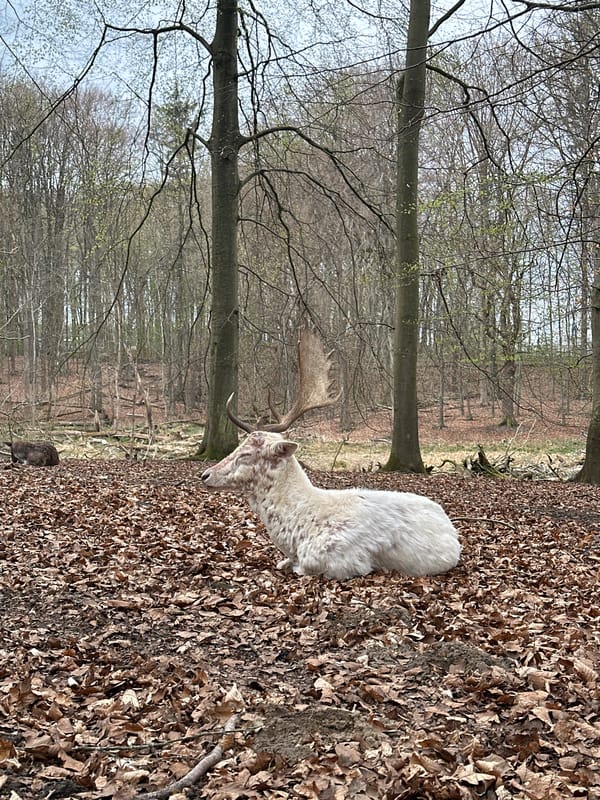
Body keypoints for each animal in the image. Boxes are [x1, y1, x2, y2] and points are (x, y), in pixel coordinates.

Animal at [201, 328, 461, 580]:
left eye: (246, 454)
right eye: (237, 446)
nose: (205, 474)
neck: (296, 535)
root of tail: (451, 526)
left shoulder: (341, 562)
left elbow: (303, 568)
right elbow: (281, 563)